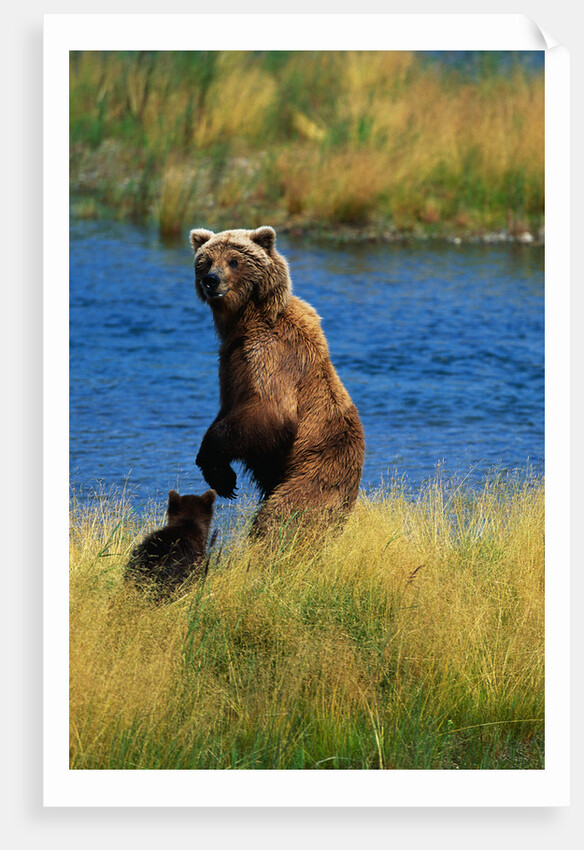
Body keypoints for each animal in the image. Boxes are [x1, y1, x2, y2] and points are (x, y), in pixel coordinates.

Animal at [189, 225, 365, 537]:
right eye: (206, 261)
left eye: (234, 260)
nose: (212, 280)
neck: (246, 320)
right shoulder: (231, 363)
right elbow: (229, 408)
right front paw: (223, 478)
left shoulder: (271, 356)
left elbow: (269, 413)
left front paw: (212, 462)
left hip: (316, 468)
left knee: (284, 515)